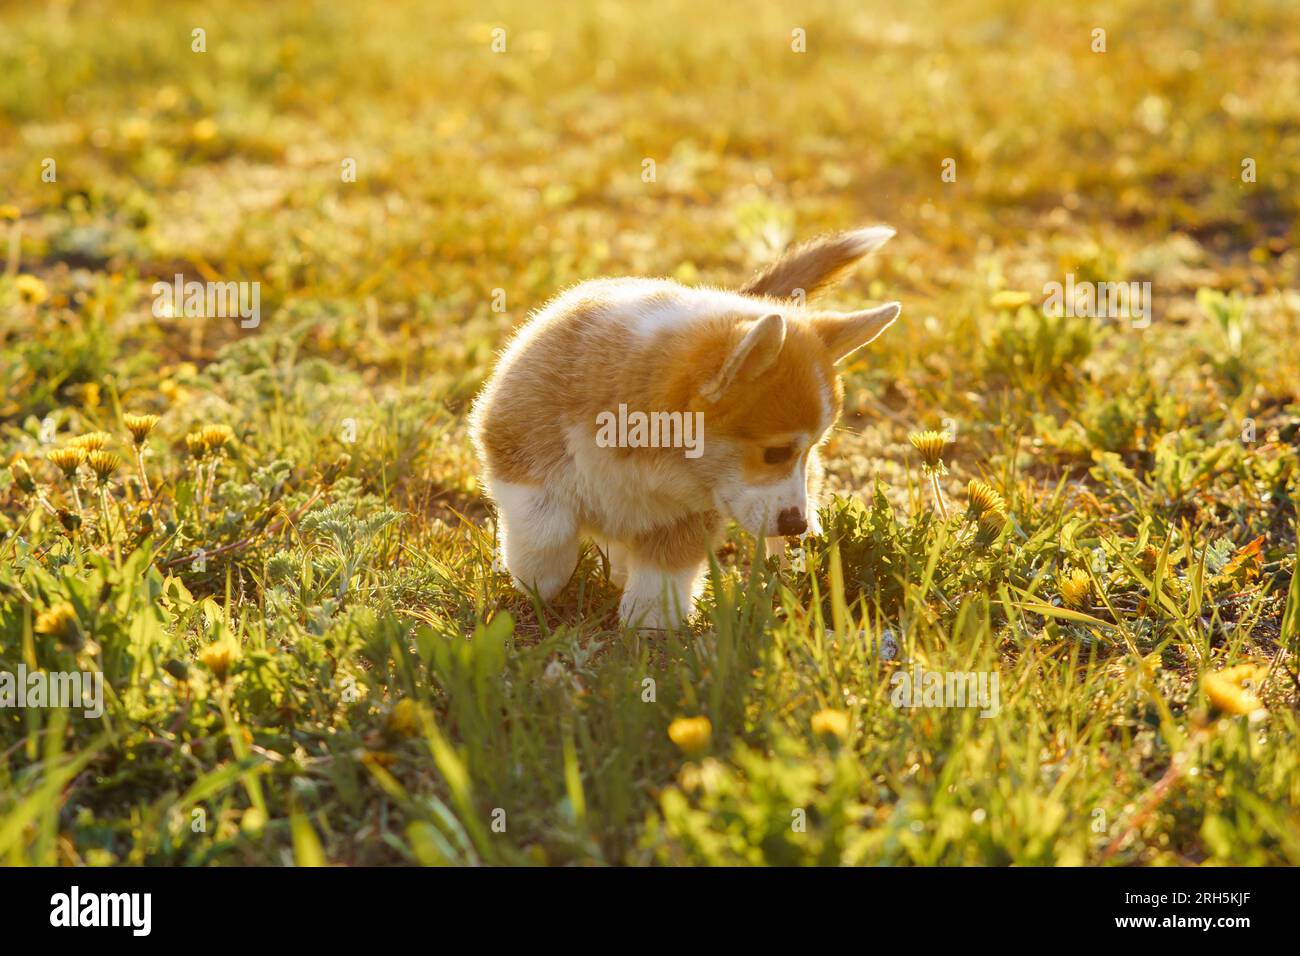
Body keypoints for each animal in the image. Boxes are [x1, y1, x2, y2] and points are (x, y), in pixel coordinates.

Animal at [470, 223, 904, 629]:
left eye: (811, 448)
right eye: (775, 452)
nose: (795, 524)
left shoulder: (686, 516)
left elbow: (662, 573)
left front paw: (649, 628)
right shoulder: (513, 447)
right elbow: (545, 529)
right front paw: (536, 580)